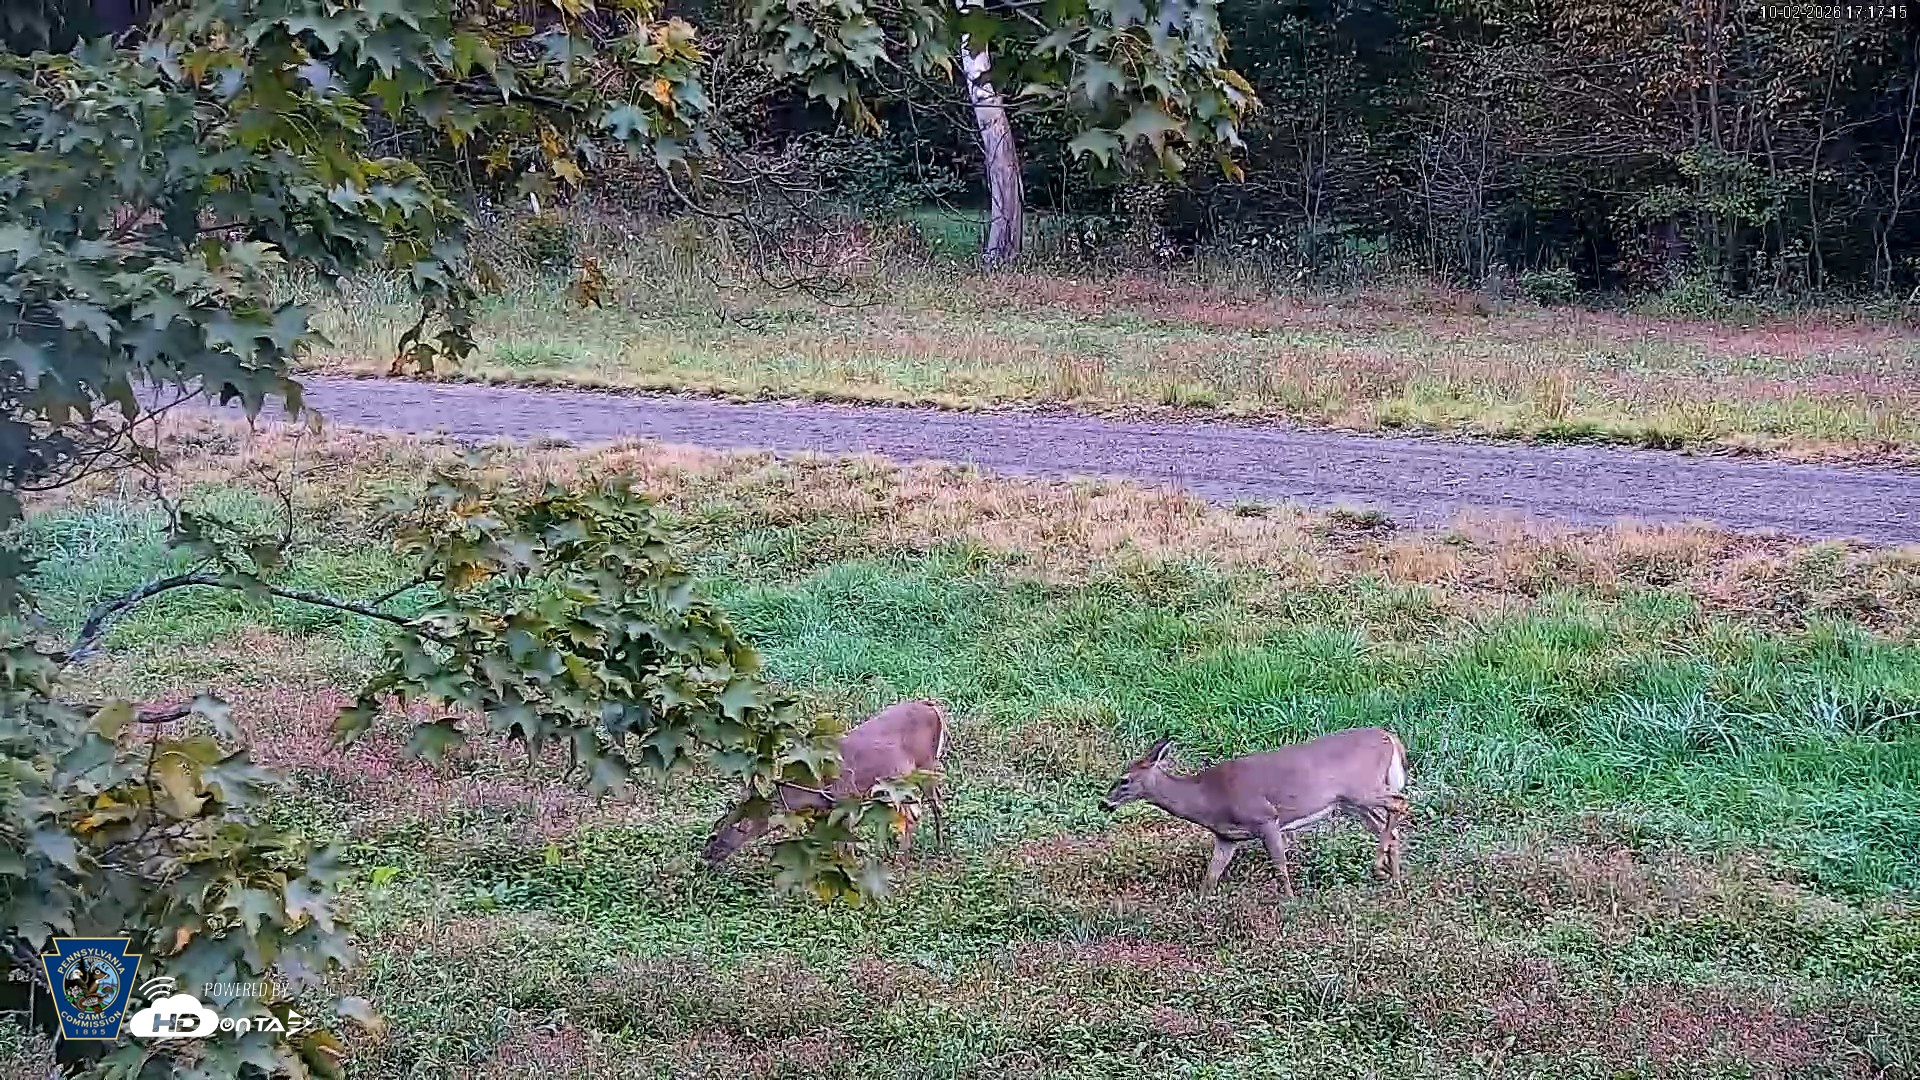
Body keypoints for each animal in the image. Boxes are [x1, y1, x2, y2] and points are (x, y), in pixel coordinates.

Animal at [700, 699, 950, 866]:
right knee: (913, 812)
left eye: (714, 835)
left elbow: (845, 844)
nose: (703, 858)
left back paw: (930, 848)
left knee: (932, 804)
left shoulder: (846, 799)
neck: (809, 791)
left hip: (926, 764)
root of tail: (931, 705)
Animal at [1098, 726, 1409, 896]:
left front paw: (1291, 901)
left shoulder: (1265, 817)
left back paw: (1379, 868)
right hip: (1352, 803)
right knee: (1389, 825)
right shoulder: (1227, 837)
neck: (1208, 797)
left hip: (1362, 788)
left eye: (1124, 780)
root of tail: (1391, 738)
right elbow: (1212, 874)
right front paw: (1199, 904)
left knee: (1401, 801)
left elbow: (1279, 865)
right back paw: (1394, 879)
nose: (1104, 803)